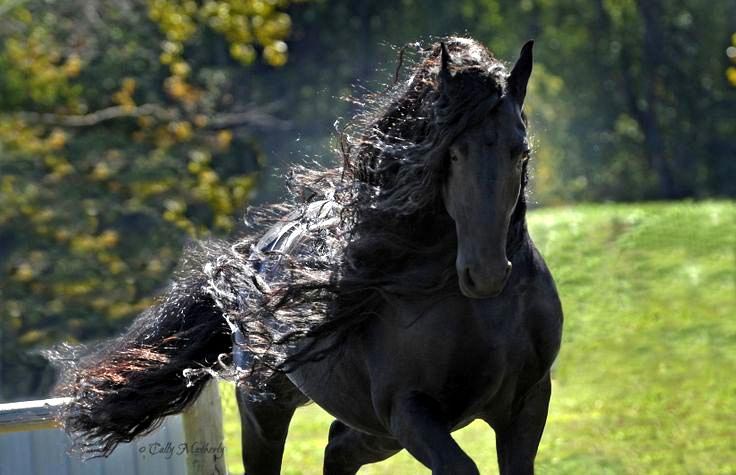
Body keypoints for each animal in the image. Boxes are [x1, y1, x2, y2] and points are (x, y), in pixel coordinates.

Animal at [53, 38, 564, 475]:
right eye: (452, 154)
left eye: (520, 152)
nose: (485, 273)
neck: (479, 314)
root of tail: (252, 256)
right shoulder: (410, 410)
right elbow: (459, 466)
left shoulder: (525, 405)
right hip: (269, 408)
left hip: (372, 430)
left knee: (337, 449)